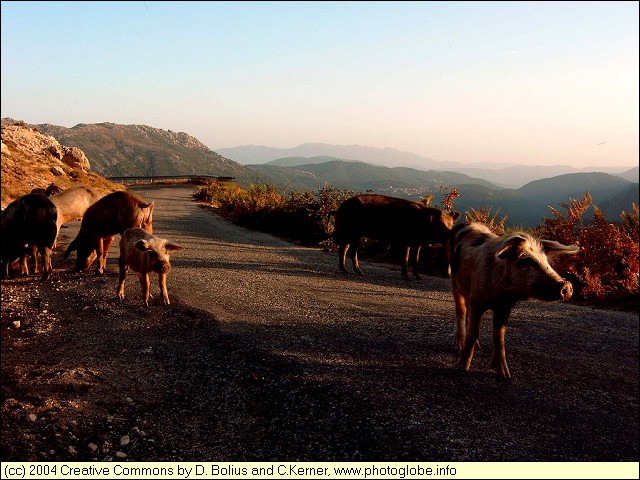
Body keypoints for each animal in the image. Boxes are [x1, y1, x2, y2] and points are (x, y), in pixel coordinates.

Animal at [447, 222, 580, 378]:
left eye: (546, 262)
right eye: (525, 260)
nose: (566, 285)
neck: (501, 294)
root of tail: (466, 223)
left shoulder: (504, 307)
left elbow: (499, 337)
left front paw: (505, 375)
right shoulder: (477, 302)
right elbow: (473, 333)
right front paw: (461, 369)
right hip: (454, 281)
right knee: (461, 311)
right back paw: (458, 346)